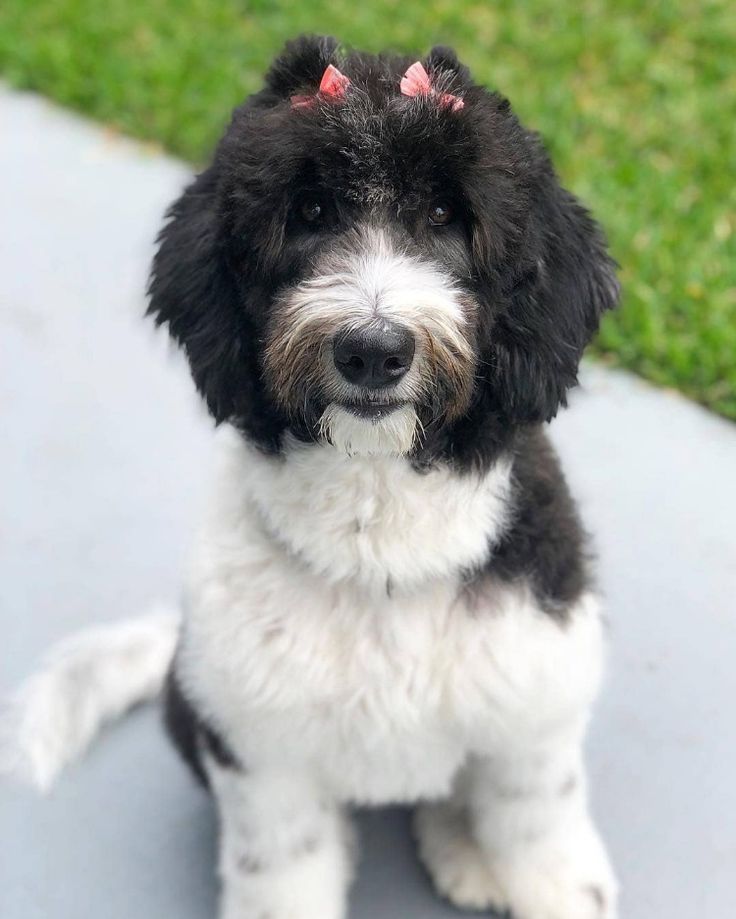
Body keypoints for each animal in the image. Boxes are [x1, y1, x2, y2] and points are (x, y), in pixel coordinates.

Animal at [1, 34, 620, 919]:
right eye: (312, 213)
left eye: (446, 215)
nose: (372, 348)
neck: (379, 542)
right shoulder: (260, 757)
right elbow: (284, 871)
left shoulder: (535, 715)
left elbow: (543, 836)